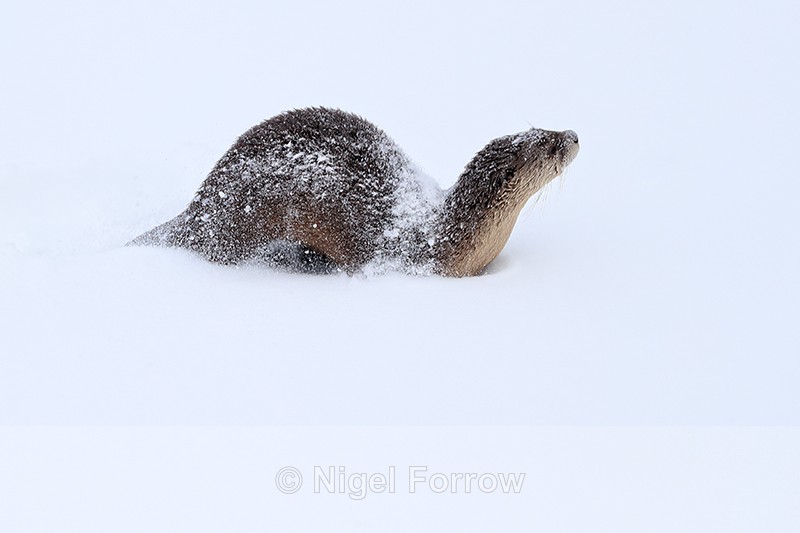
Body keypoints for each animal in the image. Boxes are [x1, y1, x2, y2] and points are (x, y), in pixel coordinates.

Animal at [130, 107, 579, 277]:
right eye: (549, 146)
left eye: (544, 127)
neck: (445, 235)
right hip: (241, 220)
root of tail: (197, 207)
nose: (573, 135)